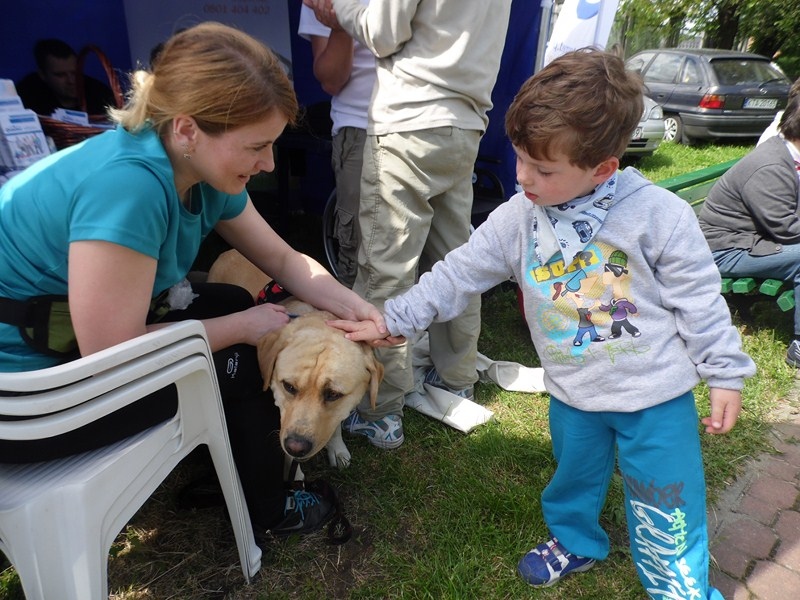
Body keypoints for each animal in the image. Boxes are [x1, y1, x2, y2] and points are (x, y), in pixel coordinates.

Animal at [207, 249, 383, 469]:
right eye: (289, 387)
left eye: (333, 394)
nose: (296, 447)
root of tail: (228, 251)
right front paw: (295, 474)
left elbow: (334, 425)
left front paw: (337, 448)